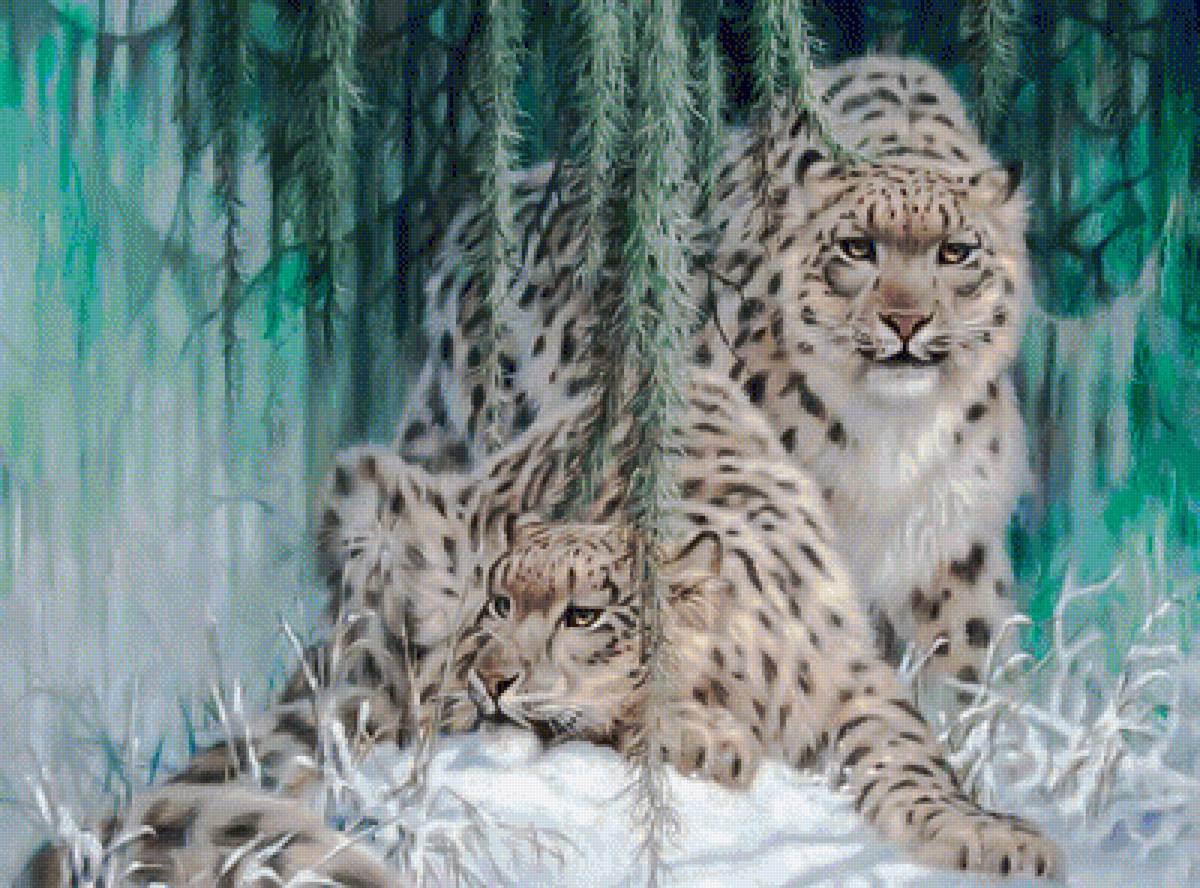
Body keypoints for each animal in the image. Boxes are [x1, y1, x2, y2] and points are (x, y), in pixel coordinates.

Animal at [17, 370, 1062, 884]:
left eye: (584, 614)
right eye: (499, 602)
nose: (494, 675)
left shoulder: (857, 686)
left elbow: (917, 764)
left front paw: (995, 839)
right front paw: (703, 740)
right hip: (376, 517)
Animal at [394, 54, 1035, 703]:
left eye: (955, 252)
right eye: (857, 248)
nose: (905, 321)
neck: (890, 437)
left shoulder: (951, 544)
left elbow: (969, 663)